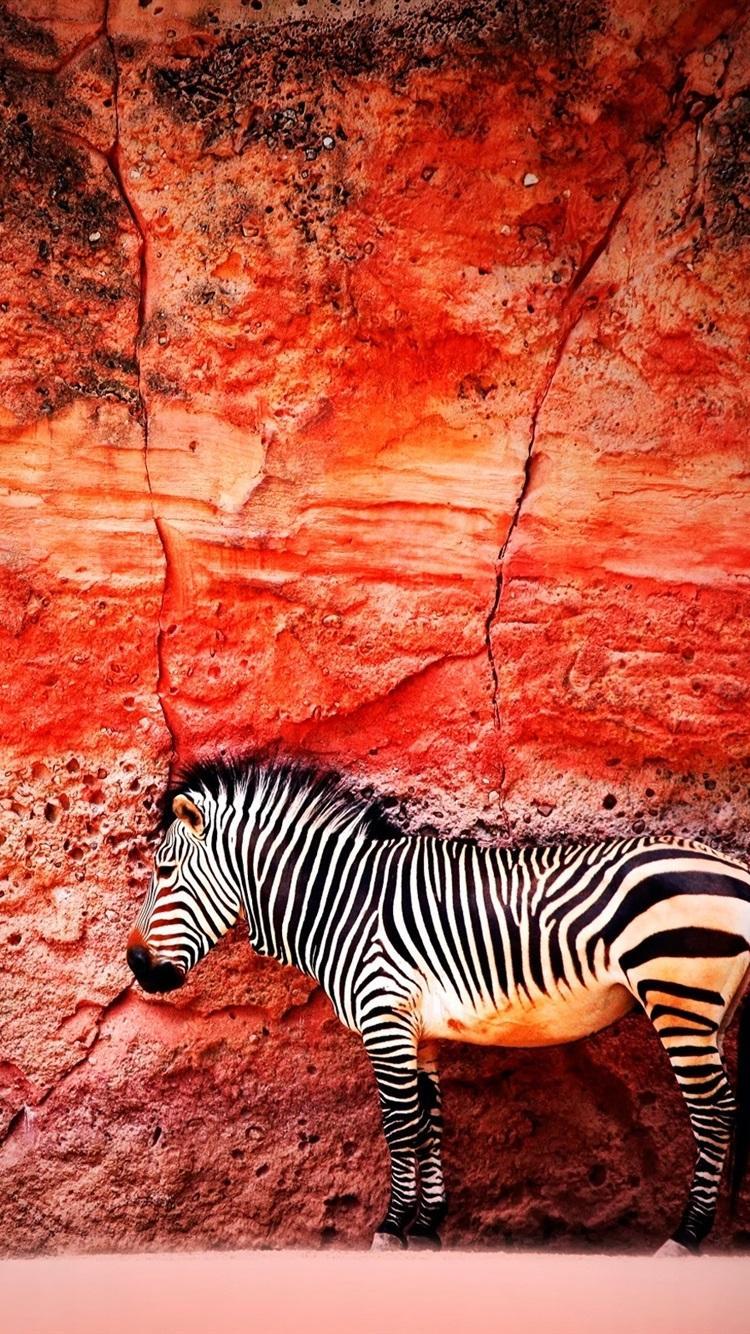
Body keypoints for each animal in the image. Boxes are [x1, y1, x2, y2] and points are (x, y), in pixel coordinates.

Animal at [126, 756, 750, 1254]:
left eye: (163, 870)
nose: (133, 964)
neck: (342, 900)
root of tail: (732, 867)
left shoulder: (383, 1016)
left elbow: (399, 1125)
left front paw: (389, 1230)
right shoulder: (416, 1031)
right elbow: (428, 1121)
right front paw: (425, 1228)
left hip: (679, 998)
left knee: (714, 1110)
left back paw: (686, 1237)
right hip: (711, 1010)